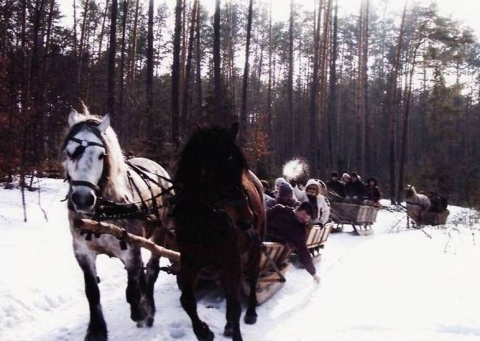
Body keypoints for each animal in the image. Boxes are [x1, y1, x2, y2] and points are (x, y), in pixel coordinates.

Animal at [61, 107, 174, 340]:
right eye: (69, 152)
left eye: (101, 155)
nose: (83, 199)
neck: (103, 212)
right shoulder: (82, 251)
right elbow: (92, 292)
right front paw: (96, 330)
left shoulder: (131, 248)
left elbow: (132, 290)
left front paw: (141, 312)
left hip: (160, 235)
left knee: (152, 269)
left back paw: (149, 310)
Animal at [172, 122, 266, 340]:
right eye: (214, 169)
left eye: (240, 167)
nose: (247, 219)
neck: (202, 219)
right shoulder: (190, 261)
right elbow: (187, 300)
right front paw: (204, 332)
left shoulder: (232, 259)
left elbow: (235, 303)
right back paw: (228, 324)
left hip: (254, 248)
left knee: (253, 274)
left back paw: (251, 312)